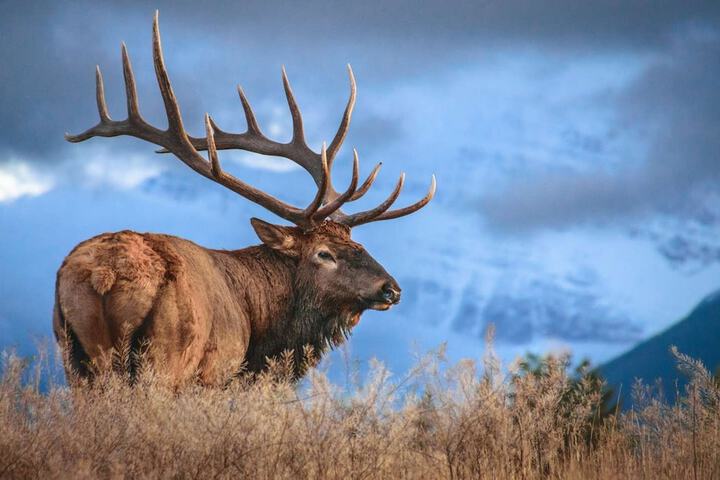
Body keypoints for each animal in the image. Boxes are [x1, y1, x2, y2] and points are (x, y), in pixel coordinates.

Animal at [53, 12, 436, 386]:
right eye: (323, 253)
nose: (391, 289)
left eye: (360, 246)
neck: (260, 331)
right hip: (164, 356)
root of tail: (105, 275)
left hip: (73, 356)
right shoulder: (215, 373)